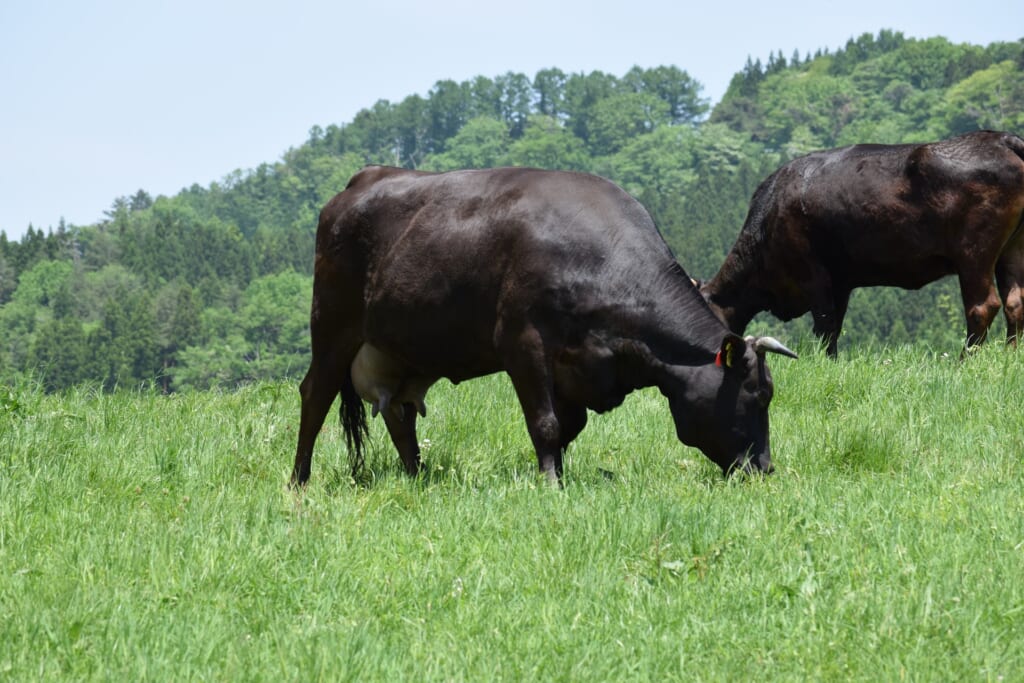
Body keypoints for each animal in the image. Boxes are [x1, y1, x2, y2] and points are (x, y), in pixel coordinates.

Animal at [292, 164, 794, 485]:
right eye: (756, 396)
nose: (765, 469)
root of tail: (361, 180)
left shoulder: (577, 367)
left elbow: (569, 427)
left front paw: (560, 476)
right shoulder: (523, 344)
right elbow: (547, 424)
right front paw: (551, 485)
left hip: (403, 352)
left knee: (400, 414)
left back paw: (417, 478)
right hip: (333, 326)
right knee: (314, 397)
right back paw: (299, 481)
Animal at [700, 129, 1024, 358]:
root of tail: (1003, 138)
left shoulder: (812, 271)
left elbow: (825, 324)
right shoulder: (840, 281)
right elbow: (835, 325)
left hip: (974, 253)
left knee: (982, 307)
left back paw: (964, 360)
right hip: (1011, 251)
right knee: (1014, 302)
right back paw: (1010, 357)